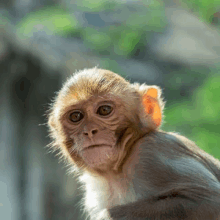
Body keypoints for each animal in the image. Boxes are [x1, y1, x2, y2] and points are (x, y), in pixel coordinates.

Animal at [47, 68, 220, 219]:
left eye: (104, 110)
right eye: (75, 116)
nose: (89, 131)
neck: (117, 172)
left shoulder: (152, 154)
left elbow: (210, 199)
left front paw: (106, 217)